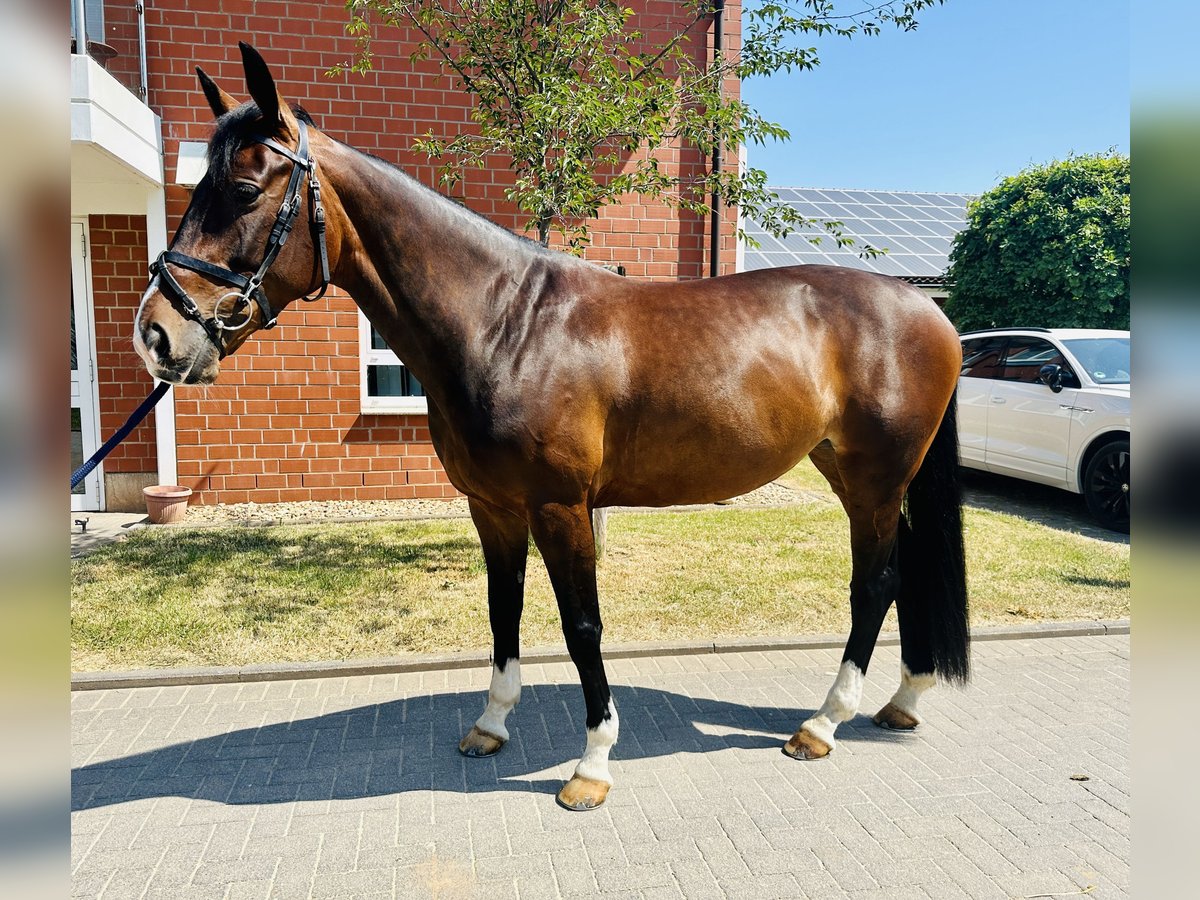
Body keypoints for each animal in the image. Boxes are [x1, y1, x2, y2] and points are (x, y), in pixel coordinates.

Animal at [136, 45, 969, 816]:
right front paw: (491, 724)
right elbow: (503, 609)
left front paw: (592, 763)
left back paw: (823, 723)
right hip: (856, 475)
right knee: (903, 577)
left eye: (244, 190)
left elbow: (582, 626)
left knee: (875, 585)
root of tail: (928, 312)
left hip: (875, 479)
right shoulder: (493, 507)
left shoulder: (562, 508)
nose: (158, 334)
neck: (508, 325)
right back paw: (903, 700)